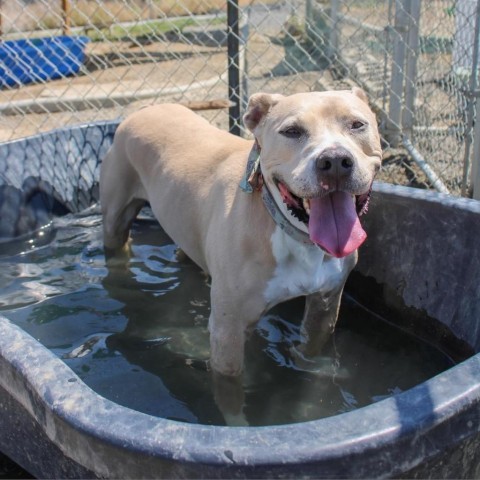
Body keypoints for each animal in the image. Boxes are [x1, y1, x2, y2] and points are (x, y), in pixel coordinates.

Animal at [99, 89, 380, 382]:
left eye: (357, 125)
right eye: (291, 131)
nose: (334, 161)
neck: (294, 234)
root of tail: (144, 110)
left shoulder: (324, 307)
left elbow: (309, 353)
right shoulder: (228, 330)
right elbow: (229, 384)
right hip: (115, 219)